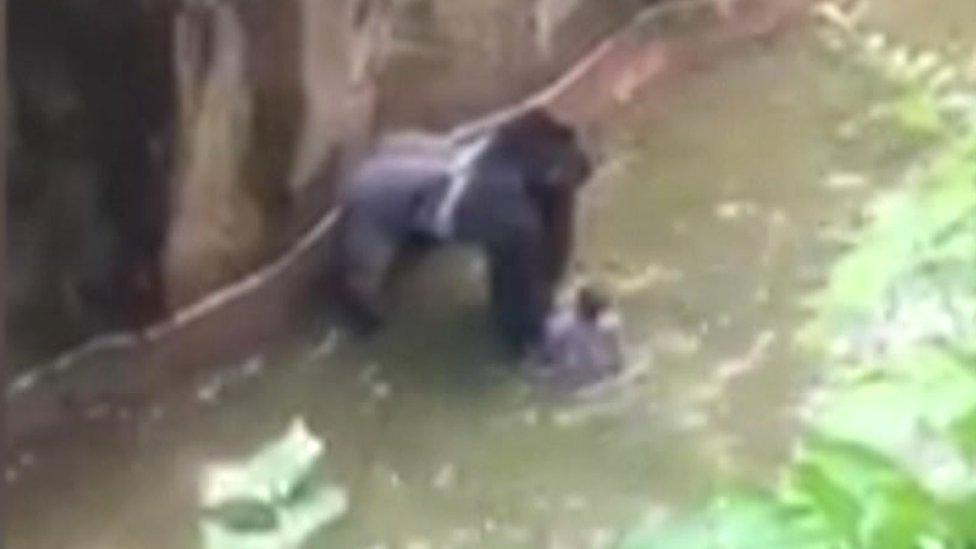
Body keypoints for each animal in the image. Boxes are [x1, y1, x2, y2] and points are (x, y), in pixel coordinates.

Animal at [328, 109, 592, 352]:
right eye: (574, 153)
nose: (587, 166)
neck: (509, 159)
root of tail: (357, 175)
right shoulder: (513, 211)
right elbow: (523, 276)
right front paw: (525, 328)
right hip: (368, 211)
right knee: (364, 271)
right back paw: (366, 310)